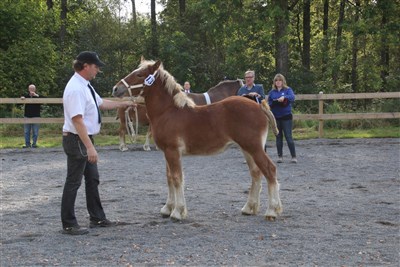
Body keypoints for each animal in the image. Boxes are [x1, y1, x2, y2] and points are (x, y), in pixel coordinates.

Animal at [111, 59, 282, 221]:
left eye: (140, 74)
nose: (115, 89)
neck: (168, 112)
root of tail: (259, 106)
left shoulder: (172, 151)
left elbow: (177, 178)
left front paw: (177, 212)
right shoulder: (166, 152)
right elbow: (169, 178)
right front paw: (167, 208)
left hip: (254, 147)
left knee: (270, 170)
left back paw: (272, 211)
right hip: (246, 149)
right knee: (256, 173)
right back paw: (249, 208)